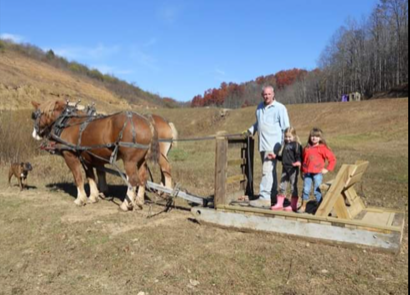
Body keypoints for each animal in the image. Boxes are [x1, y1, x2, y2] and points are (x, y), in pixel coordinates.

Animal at [31, 100, 159, 212]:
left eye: (35, 115)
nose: (34, 134)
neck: (67, 123)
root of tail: (147, 122)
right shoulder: (86, 158)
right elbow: (91, 176)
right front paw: (93, 197)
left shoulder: (70, 156)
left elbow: (78, 177)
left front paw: (80, 199)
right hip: (142, 160)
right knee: (143, 178)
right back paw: (139, 201)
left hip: (130, 161)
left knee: (132, 180)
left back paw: (125, 205)